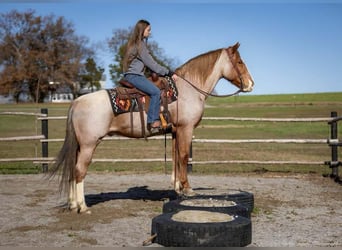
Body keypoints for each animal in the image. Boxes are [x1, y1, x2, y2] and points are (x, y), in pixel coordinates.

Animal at [50, 41, 254, 213]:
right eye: (239, 61)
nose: (251, 84)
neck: (188, 90)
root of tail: (77, 101)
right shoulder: (186, 129)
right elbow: (183, 156)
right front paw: (188, 189)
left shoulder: (175, 131)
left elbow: (175, 158)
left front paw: (177, 188)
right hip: (88, 145)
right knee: (79, 170)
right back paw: (82, 206)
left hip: (79, 145)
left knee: (73, 170)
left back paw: (73, 204)